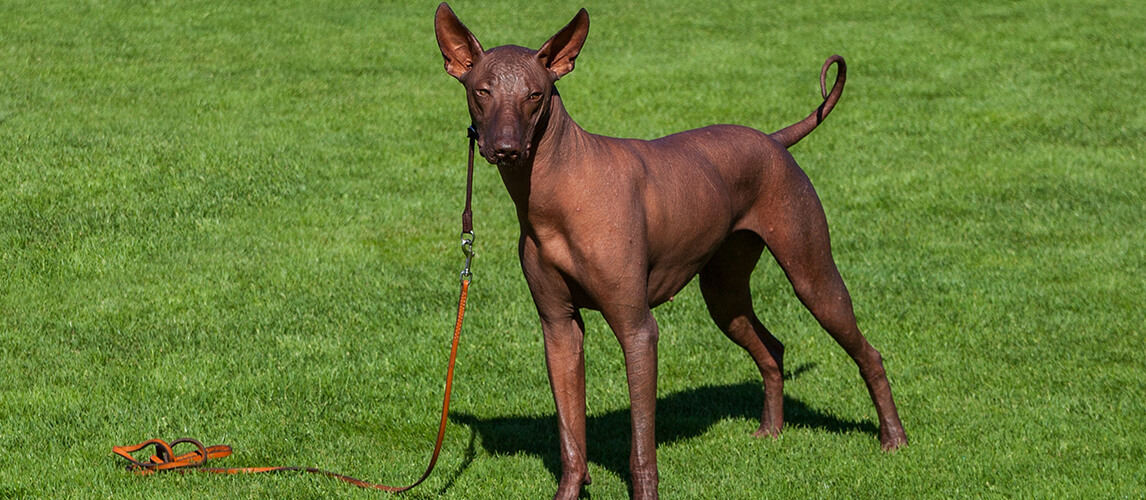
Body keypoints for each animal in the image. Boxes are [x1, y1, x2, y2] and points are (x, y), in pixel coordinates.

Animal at [433, 2, 907, 495]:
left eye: (535, 95)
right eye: (483, 91)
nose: (506, 148)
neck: (556, 195)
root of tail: (772, 140)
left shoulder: (638, 329)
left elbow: (641, 442)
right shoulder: (558, 329)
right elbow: (571, 437)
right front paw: (571, 490)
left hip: (812, 275)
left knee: (868, 354)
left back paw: (893, 438)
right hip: (724, 295)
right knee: (772, 349)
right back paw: (771, 430)